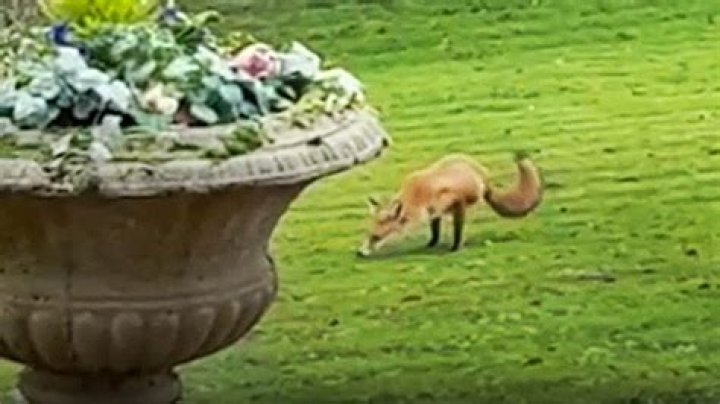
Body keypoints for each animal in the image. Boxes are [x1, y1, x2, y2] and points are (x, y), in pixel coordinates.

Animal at [357, 152, 543, 257]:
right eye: (368, 235)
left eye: (376, 238)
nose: (360, 253)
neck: (418, 194)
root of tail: (481, 171)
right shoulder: (434, 212)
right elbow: (435, 232)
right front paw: (431, 244)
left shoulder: (456, 203)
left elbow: (457, 232)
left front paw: (455, 248)